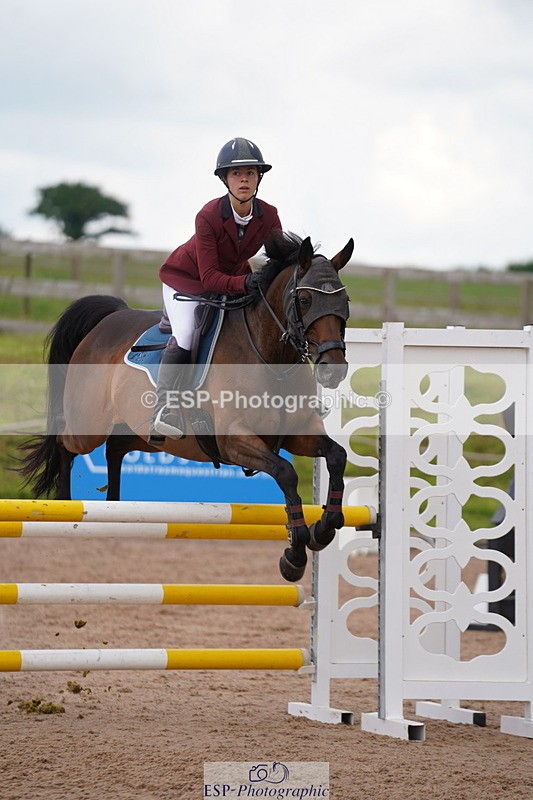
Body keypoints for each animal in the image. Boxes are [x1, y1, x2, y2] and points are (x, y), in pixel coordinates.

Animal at [19, 231, 353, 582]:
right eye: (305, 301)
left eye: (345, 303)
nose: (333, 370)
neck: (271, 357)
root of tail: (109, 318)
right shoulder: (234, 439)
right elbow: (286, 473)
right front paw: (295, 554)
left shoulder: (297, 433)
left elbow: (336, 456)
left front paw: (324, 528)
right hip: (89, 426)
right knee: (64, 443)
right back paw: (65, 506)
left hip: (146, 435)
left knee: (116, 447)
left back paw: (113, 506)